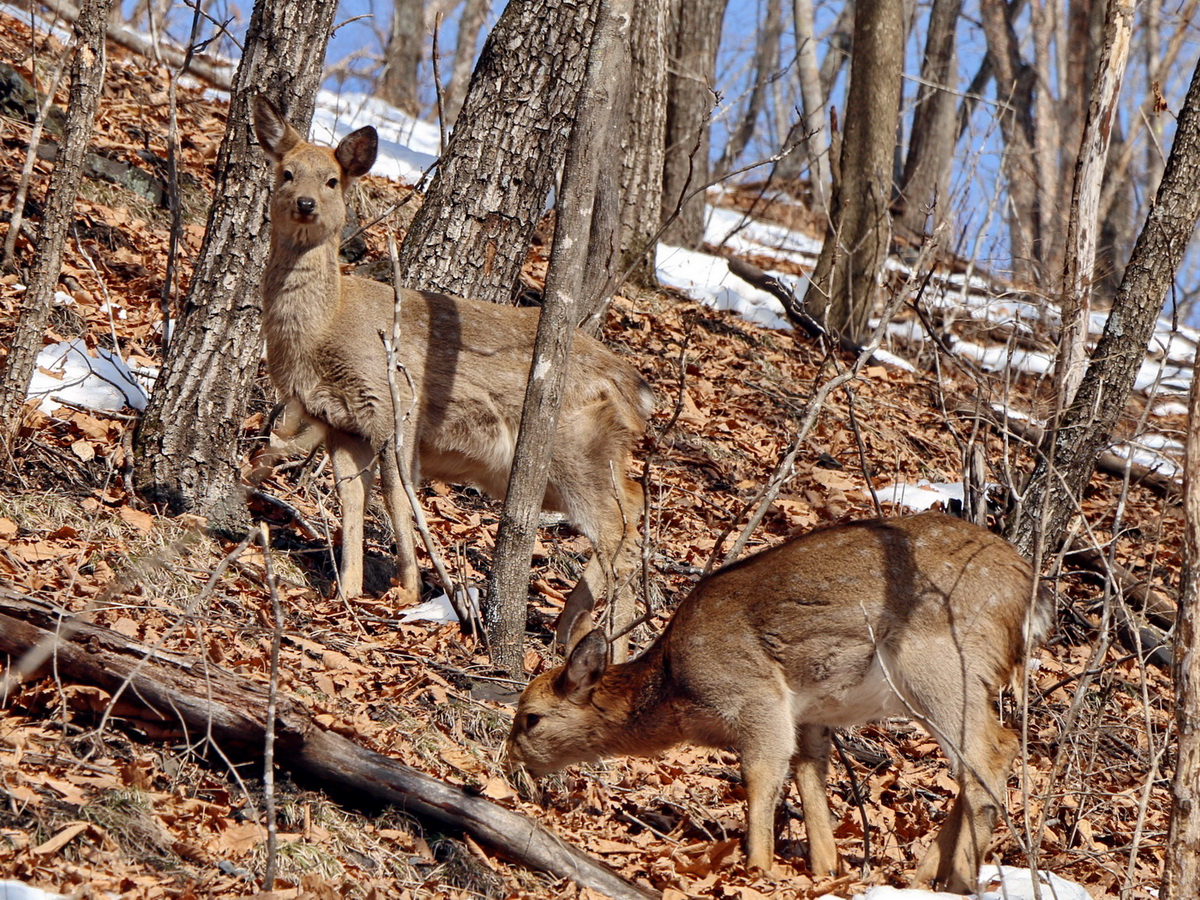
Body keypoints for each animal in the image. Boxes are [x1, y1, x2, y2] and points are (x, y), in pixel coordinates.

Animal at [252, 97, 657, 657]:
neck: (325, 329)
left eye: (332, 180)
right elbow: (352, 501)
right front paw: (349, 589)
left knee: (620, 534)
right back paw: (569, 628)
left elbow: (397, 497)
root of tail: (635, 388)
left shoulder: (395, 407)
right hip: (585, 462)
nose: (306, 203)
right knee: (632, 510)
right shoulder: (340, 424)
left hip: (574, 448)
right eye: (286, 173)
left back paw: (607, 647)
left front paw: (406, 590)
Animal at [506, 513, 1051, 897]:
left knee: (992, 751)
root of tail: (1030, 595)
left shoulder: (754, 695)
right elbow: (810, 778)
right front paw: (826, 868)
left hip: (939, 663)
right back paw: (923, 878)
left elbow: (760, 774)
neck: (677, 691)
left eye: (530, 718)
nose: (511, 765)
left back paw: (957, 880)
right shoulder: (810, 714)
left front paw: (757, 869)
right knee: (975, 763)